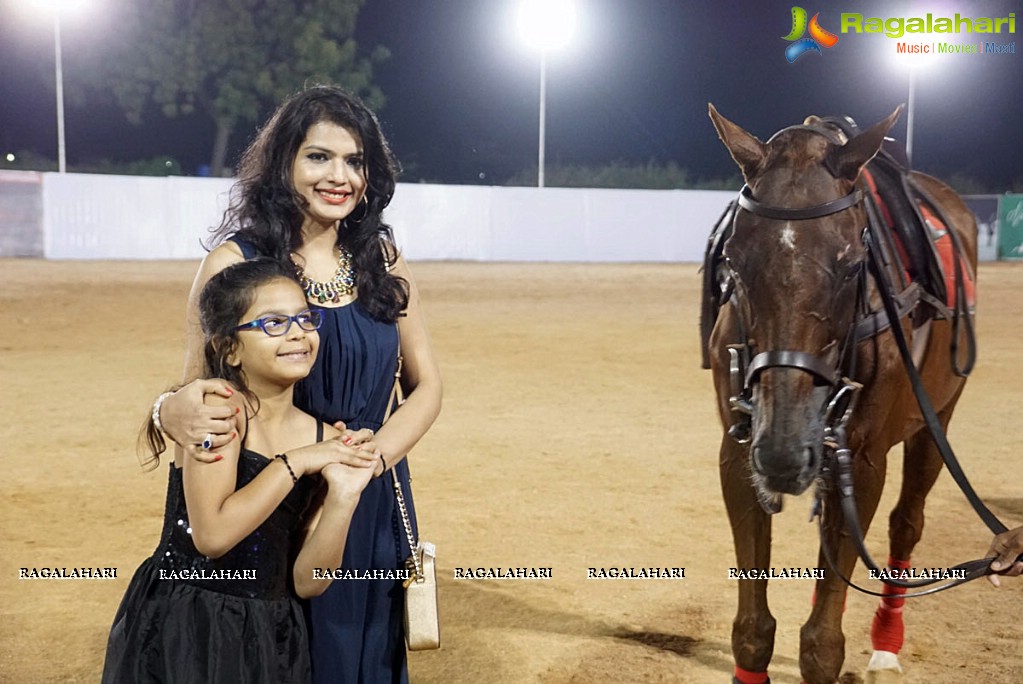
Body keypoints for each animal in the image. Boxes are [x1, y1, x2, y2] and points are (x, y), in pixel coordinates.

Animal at [707, 102, 977, 682]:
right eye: (733, 261)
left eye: (854, 263)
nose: (783, 452)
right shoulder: (738, 454)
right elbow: (753, 631)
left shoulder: (865, 458)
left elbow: (823, 645)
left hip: (936, 421)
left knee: (906, 525)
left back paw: (886, 643)